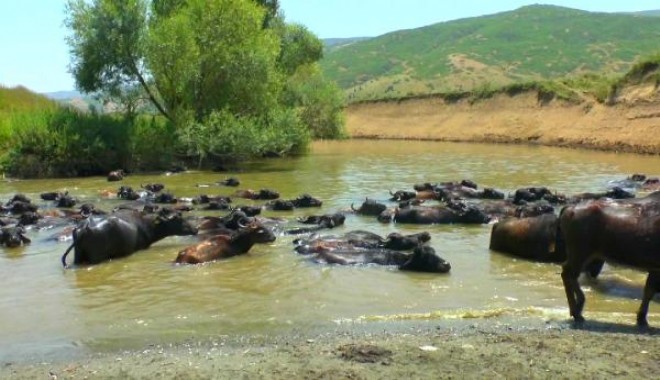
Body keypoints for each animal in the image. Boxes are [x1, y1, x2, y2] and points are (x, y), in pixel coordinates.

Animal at [60, 208, 197, 268]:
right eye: (178, 217)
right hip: (96, 257)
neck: (146, 224)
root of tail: (84, 228)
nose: (195, 228)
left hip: (78, 256)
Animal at [560, 193, 660, 326]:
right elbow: (649, 292)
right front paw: (642, 319)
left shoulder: (654, 268)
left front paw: (641, 318)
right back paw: (577, 311)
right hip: (580, 253)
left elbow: (648, 291)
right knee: (568, 274)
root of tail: (570, 209)